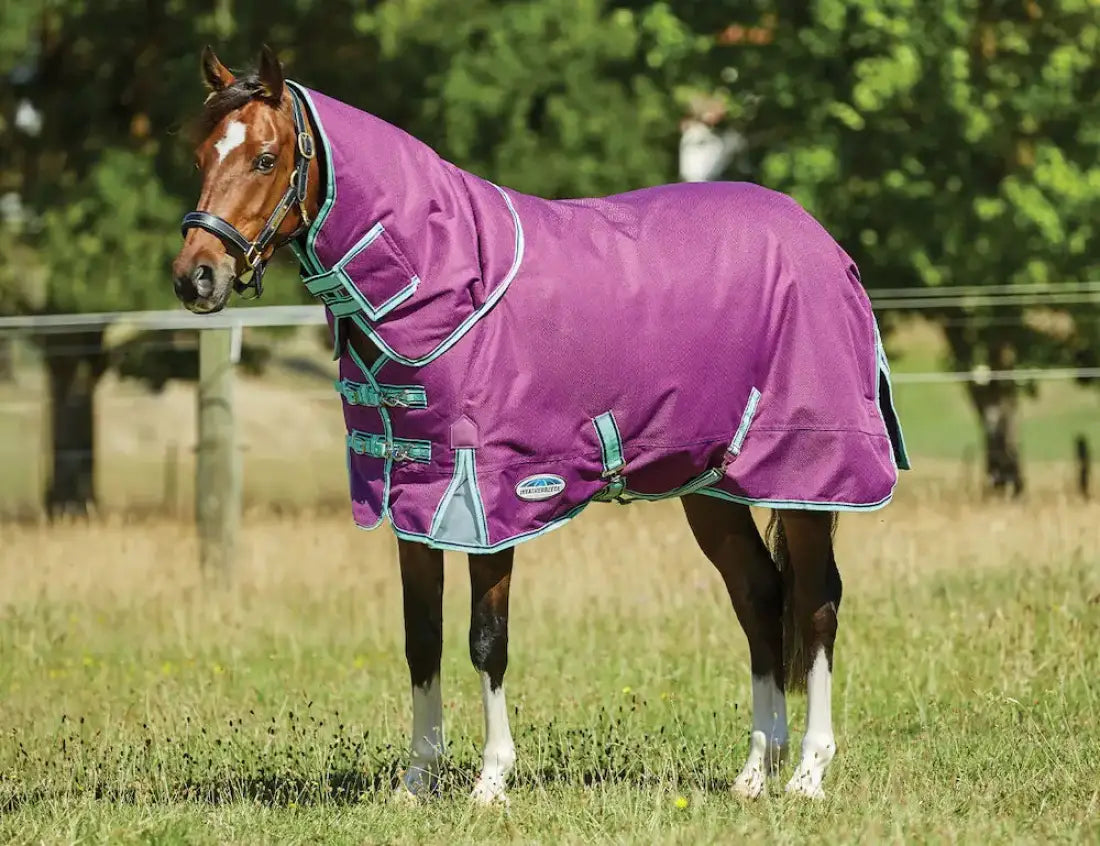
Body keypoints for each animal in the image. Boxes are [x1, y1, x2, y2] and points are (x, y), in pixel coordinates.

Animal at [171, 46, 908, 804]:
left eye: (265, 159)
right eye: (199, 152)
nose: (196, 277)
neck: (444, 276)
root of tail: (823, 245)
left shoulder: (487, 500)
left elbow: (486, 638)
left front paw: (491, 781)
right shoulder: (415, 498)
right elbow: (421, 638)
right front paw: (416, 780)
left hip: (808, 480)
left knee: (816, 604)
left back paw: (809, 772)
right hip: (711, 488)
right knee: (760, 597)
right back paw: (755, 772)